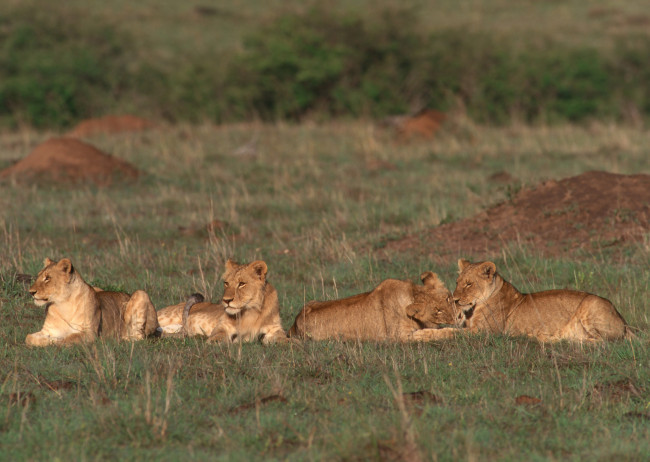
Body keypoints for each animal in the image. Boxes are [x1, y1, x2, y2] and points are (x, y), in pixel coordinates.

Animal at [27, 256, 159, 346]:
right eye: (38, 276)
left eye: (47, 278)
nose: (31, 292)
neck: (62, 304)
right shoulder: (48, 330)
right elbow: (29, 338)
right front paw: (48, 339)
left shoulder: (90, 333)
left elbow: (69, 338)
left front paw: (55, 341)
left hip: (141, 294)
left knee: (139, 337)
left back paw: (121, 339)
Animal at [156, 260, 284, 342]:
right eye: (226, 283)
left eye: (242, 284)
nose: (226, 300)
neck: (250, 311)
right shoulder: (223, 326)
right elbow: (219, 335)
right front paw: (213, 341)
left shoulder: (274, 328)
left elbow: (283, 338)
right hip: (166, 316)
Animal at [288, 268, 456, 342]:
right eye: (437, 311)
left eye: (448, 299)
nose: (456, 317)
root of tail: (295, 322)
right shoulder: (399, 336)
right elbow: (431, 333)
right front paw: (456, 332)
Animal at [412, 260, 632, 342]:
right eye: (457, 282)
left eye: (469, 284)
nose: (456, 300)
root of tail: (624, 321)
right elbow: (447, 327)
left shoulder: (485, 333)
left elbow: (449, 332)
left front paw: (420, 334)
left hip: (590, 307)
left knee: (603, 342)